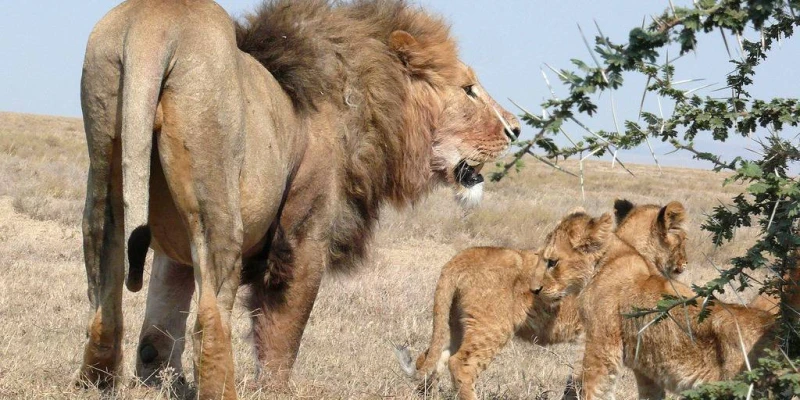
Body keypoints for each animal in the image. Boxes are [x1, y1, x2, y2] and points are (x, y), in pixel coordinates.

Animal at [77, 0, 520, 398]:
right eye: (468, 90)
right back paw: (220, 391)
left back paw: (95, 383)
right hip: (215, 201)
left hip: (105, 152)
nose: (515, 129)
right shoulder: (302, 230)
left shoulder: (176, 250)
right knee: (211, 316)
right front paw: (275, 390)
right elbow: (283, 326)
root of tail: (156, 26)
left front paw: (159, 384)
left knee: (105, 296)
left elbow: (160, 326)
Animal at [394, 200, 690, 400]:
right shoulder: (591, 336)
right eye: (684, 239)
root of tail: (459, 258)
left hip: (456, 322)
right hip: (491, 327)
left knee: (430, 358)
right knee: (460, 365)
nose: (686, 263)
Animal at [539, 210, 799, 399]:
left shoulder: (602, 348)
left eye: (551, 262)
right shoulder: (646, 371)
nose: (536, 290)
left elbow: (591, 388)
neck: (604, 263)